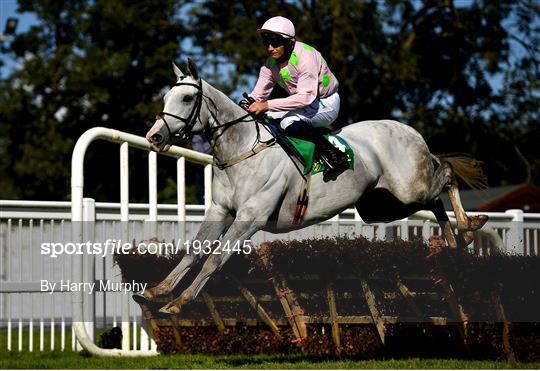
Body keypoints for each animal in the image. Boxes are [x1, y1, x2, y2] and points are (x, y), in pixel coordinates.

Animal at [136, 59, 490, 316]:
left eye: (186, 97)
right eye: (166, 97)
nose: (154, 136)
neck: (242, 149)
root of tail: (413, 133)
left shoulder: (250, 217)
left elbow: (215, 258)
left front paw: (179, 302)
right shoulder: (221, 211)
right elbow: (194, 250)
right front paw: (157, 291)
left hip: (408, 189)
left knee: (446, 174)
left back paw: (469, 225)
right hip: (381, 206)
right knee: (434, 201)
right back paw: (454, 240)